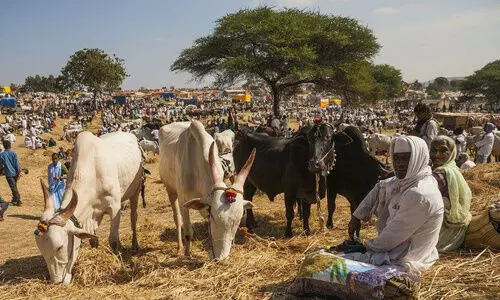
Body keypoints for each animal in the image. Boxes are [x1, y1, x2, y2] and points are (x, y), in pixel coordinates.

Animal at [34, 131, 144, 284]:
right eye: (42, 251)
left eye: (60, 247)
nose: (57, 282)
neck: (91, 172)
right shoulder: (91, 215)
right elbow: (93, 240)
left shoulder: (114, 206)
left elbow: (113, 240)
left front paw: (118, 260)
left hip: (136, 189)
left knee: (133, 218)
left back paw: (135, 245)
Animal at [159, 121, 256, 260]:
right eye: (214, 217)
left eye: (237, 222)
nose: (222, 259)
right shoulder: (183, 201)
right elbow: (188, 232)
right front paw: (188, 254)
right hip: (170, 189)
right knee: (177, 219)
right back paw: (179, 248)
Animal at [232, 123, 388, 237]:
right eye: (309, 139)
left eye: (328, 137)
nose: (315, 164)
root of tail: (243, 135)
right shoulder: (292, 191)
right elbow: (291, 213)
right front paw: (288, 233)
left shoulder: (308, 193)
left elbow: (307, 213)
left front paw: (307, 230)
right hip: (246, 180)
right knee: (247, 198)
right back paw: (250, 224)